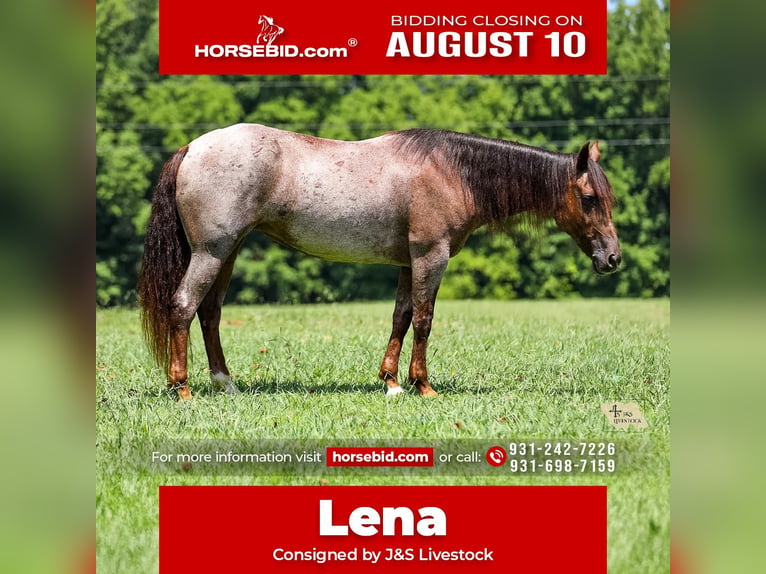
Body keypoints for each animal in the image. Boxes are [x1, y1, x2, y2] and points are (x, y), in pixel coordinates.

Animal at [138, 124, 621, 400]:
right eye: (589, 198)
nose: (612, 258)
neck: (452, 172)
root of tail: (191, 147)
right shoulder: (431, 256)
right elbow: (424, 320)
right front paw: (423, 385)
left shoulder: (410, 262)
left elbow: (401, 317)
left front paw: (390, 381)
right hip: (212, 252)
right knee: (183, 306)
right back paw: (182, 388)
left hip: (228, 252)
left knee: (209, 313)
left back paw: (225, 383)